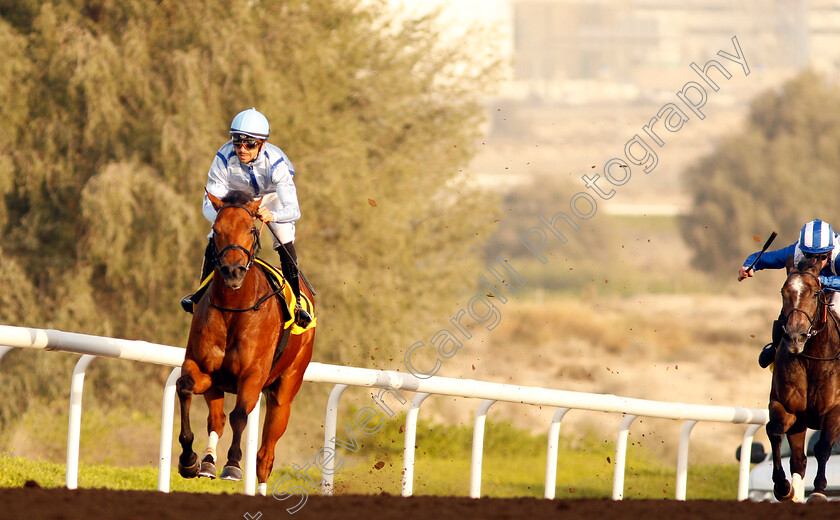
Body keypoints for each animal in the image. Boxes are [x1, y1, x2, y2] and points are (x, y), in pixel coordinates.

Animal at [177, 189, 316, 494]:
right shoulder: (204, 369)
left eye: (251, 229)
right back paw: (207, 461)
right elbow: (185, 387)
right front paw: (189, 460)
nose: (233, 271)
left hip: (284, 392)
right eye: (216, 230)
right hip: (219, 385)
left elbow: (240, 414)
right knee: (216, 420)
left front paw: (232, 465)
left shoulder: (253, 375)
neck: (233, 310)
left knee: (265, 455)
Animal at [768, 254, 840, 502]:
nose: (795, 337)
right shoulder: (788, 409)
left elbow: (823, 447)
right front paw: (783, 487)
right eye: (783, 291)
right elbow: (775, 431)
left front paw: (818, 491)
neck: (811, 360)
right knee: (798, 460)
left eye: (815, 293)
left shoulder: (834, 411)